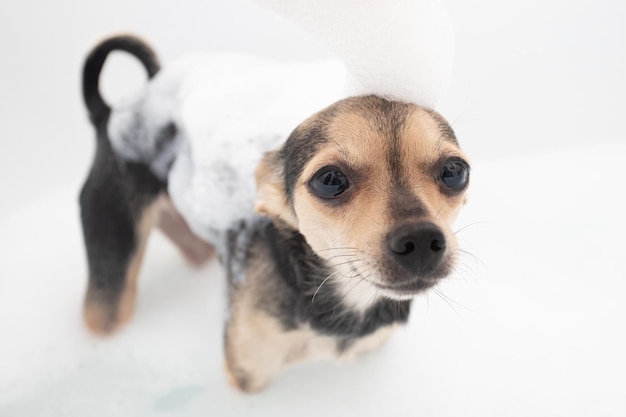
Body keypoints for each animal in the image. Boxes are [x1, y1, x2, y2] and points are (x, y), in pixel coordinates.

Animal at [78, 35, 468, 390]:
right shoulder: (247, 376)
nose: (420, 239)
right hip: (111, 280)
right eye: (329, 180)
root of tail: (114, 112)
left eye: (455, 171)